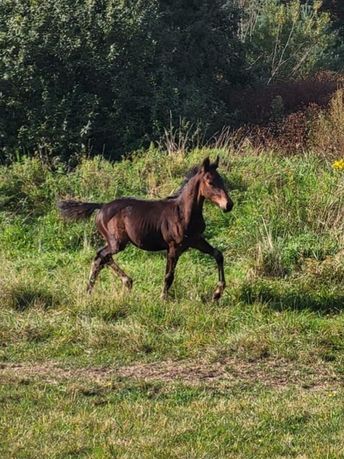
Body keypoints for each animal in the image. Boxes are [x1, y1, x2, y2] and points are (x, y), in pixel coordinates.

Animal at [57, 157, 234, 302]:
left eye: (221, 179)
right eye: (210, 182)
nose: (229, 205)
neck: (183, 212)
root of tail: (101, 206)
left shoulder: (196, 240)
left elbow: (218, 254)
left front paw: (217, 293)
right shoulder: (173, 247)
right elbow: (169, 275)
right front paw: (163, 298)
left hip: (114, 242)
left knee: (101, 257)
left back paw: (101, 287)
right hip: (117, 242)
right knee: (102, 256)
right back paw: (118, 284)